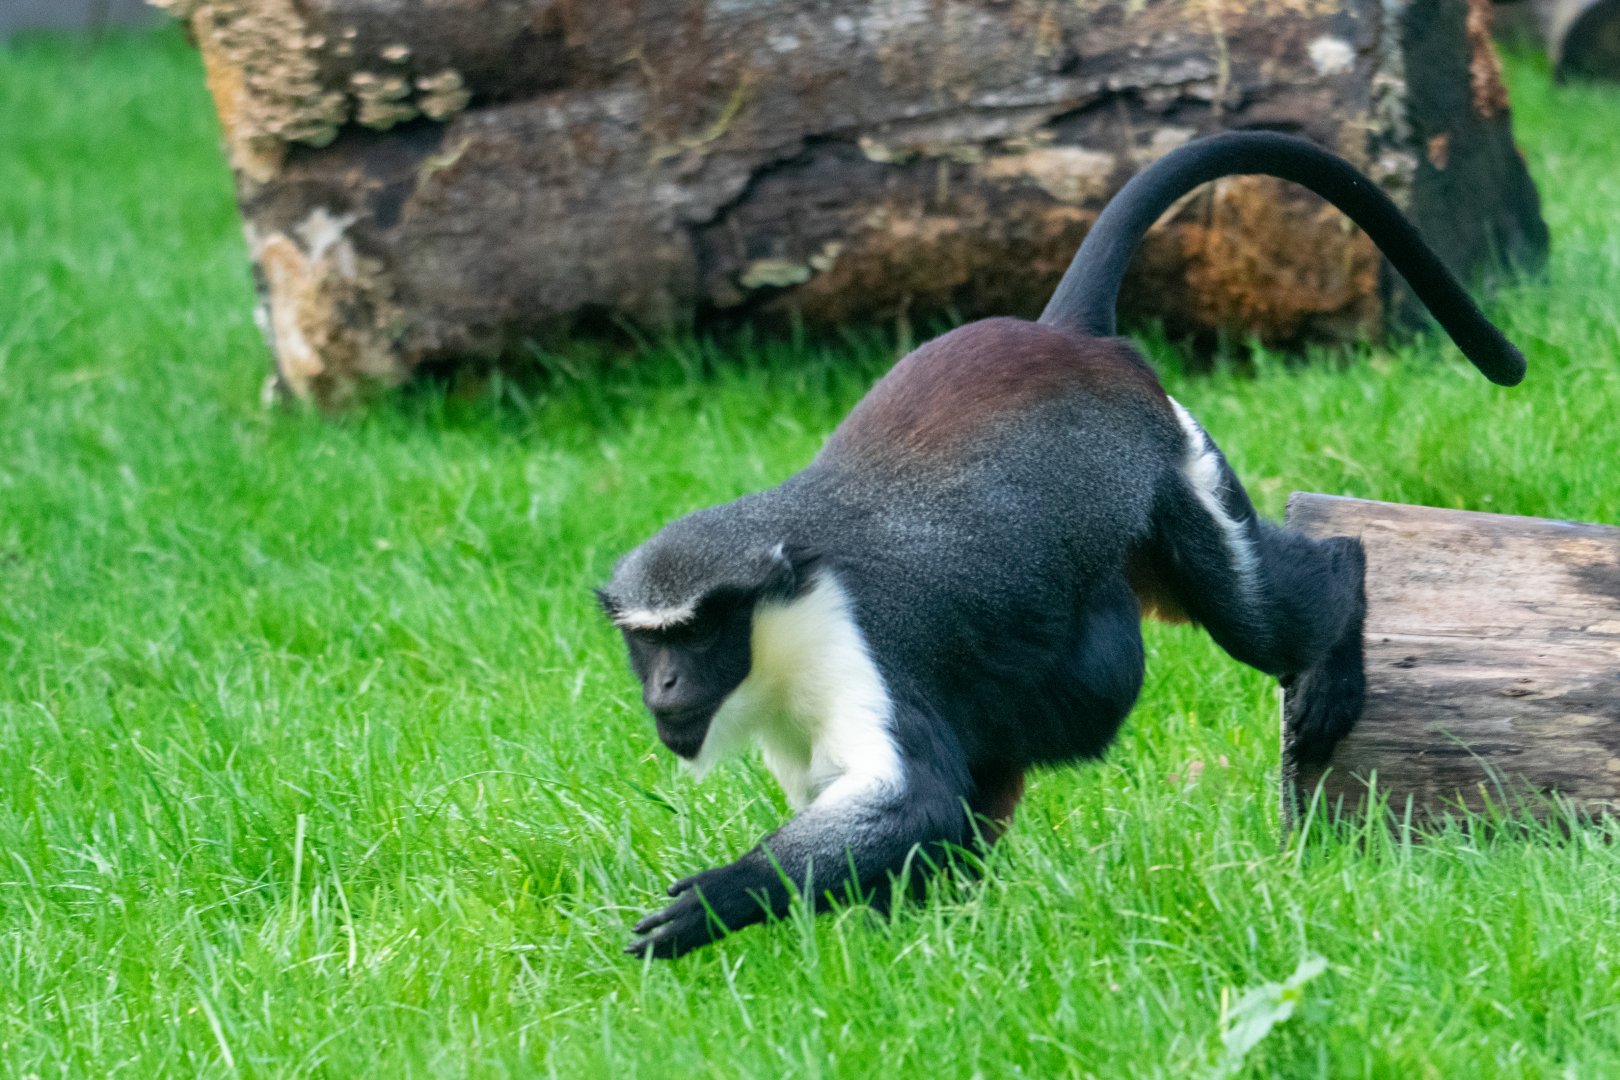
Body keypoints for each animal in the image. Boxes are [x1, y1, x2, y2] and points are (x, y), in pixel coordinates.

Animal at [598, 131, 1527, 959]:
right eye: (651, 644)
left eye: (698, 633)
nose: (667, 685)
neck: (783, 612)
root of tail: (1070, 337)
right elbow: (919, 818)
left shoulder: (860, 644)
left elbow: (914, 801)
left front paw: (724, 896)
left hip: (1174, 473)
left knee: (1261, 609)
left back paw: (1337, 612)